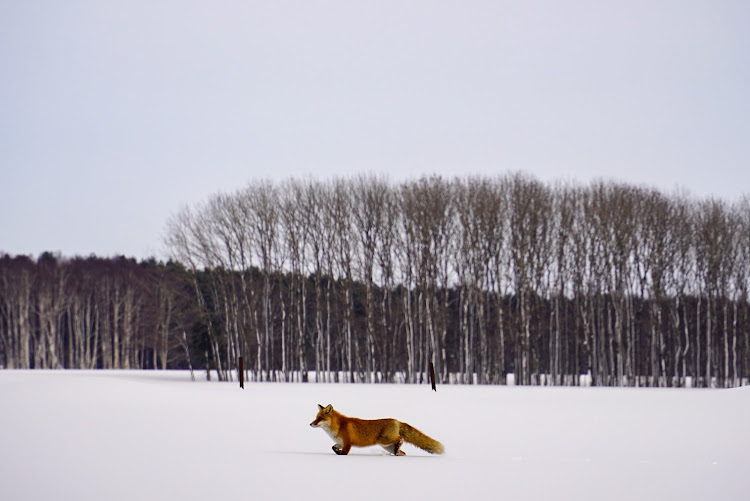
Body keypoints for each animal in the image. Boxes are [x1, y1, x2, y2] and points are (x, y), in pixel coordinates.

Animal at [308, 402, 444, 454]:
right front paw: (336, 451)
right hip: (386, 446)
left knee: (401, 438)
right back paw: (398, 452)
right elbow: (333, 447)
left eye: (320, 418)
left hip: (384, 440)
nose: (310, 424)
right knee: (402, 452)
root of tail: (396, 420)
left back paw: (399, 445)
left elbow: (343, 453)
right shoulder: (340, 442)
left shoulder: (348, 443)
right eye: (316, 417)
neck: (339, 426)